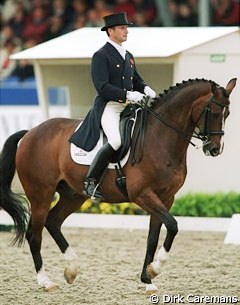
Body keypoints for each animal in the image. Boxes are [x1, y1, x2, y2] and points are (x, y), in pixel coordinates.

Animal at [0, 77, 236, 294]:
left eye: (227, 115)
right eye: (215, 113)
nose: (215, 149)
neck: (160, 137)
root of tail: (30, 132)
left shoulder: (166, 198)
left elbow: (154, 237)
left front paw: (148, 279)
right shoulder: (143, 195)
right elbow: (173, 225)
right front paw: (155, 268)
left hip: (73, 195)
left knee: (53, 222)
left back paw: (72, 270)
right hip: (40, 194)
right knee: (35, 233)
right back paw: (46, 281)